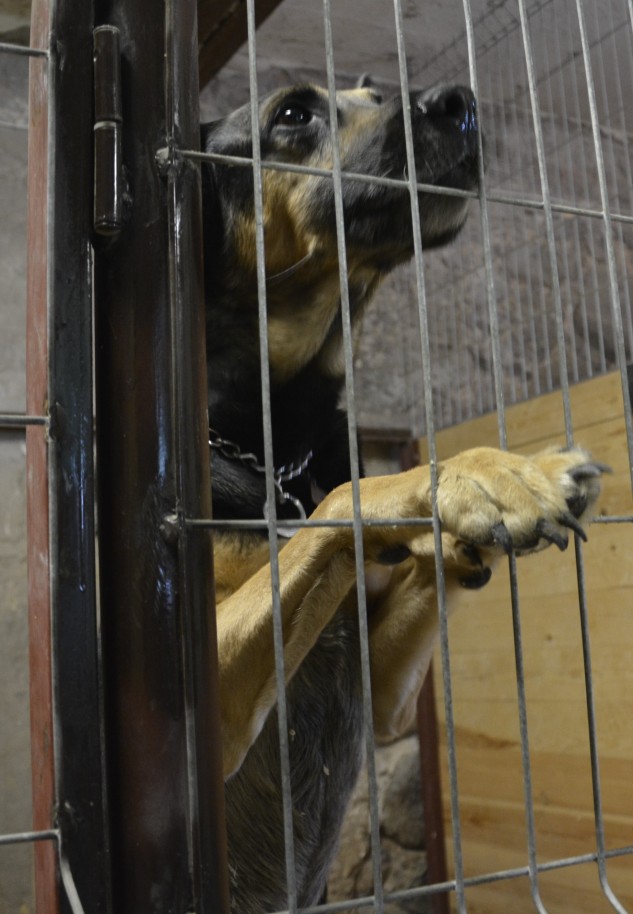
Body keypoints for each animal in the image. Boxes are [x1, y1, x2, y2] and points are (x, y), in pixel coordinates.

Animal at [199, 81, 605, 912]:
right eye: (292, 113)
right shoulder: (210, 700)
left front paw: (472, 515)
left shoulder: (384, 693)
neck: (273, 446)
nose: (457, 103)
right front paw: (476, 475)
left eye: (374, 93)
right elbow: (350, 493)